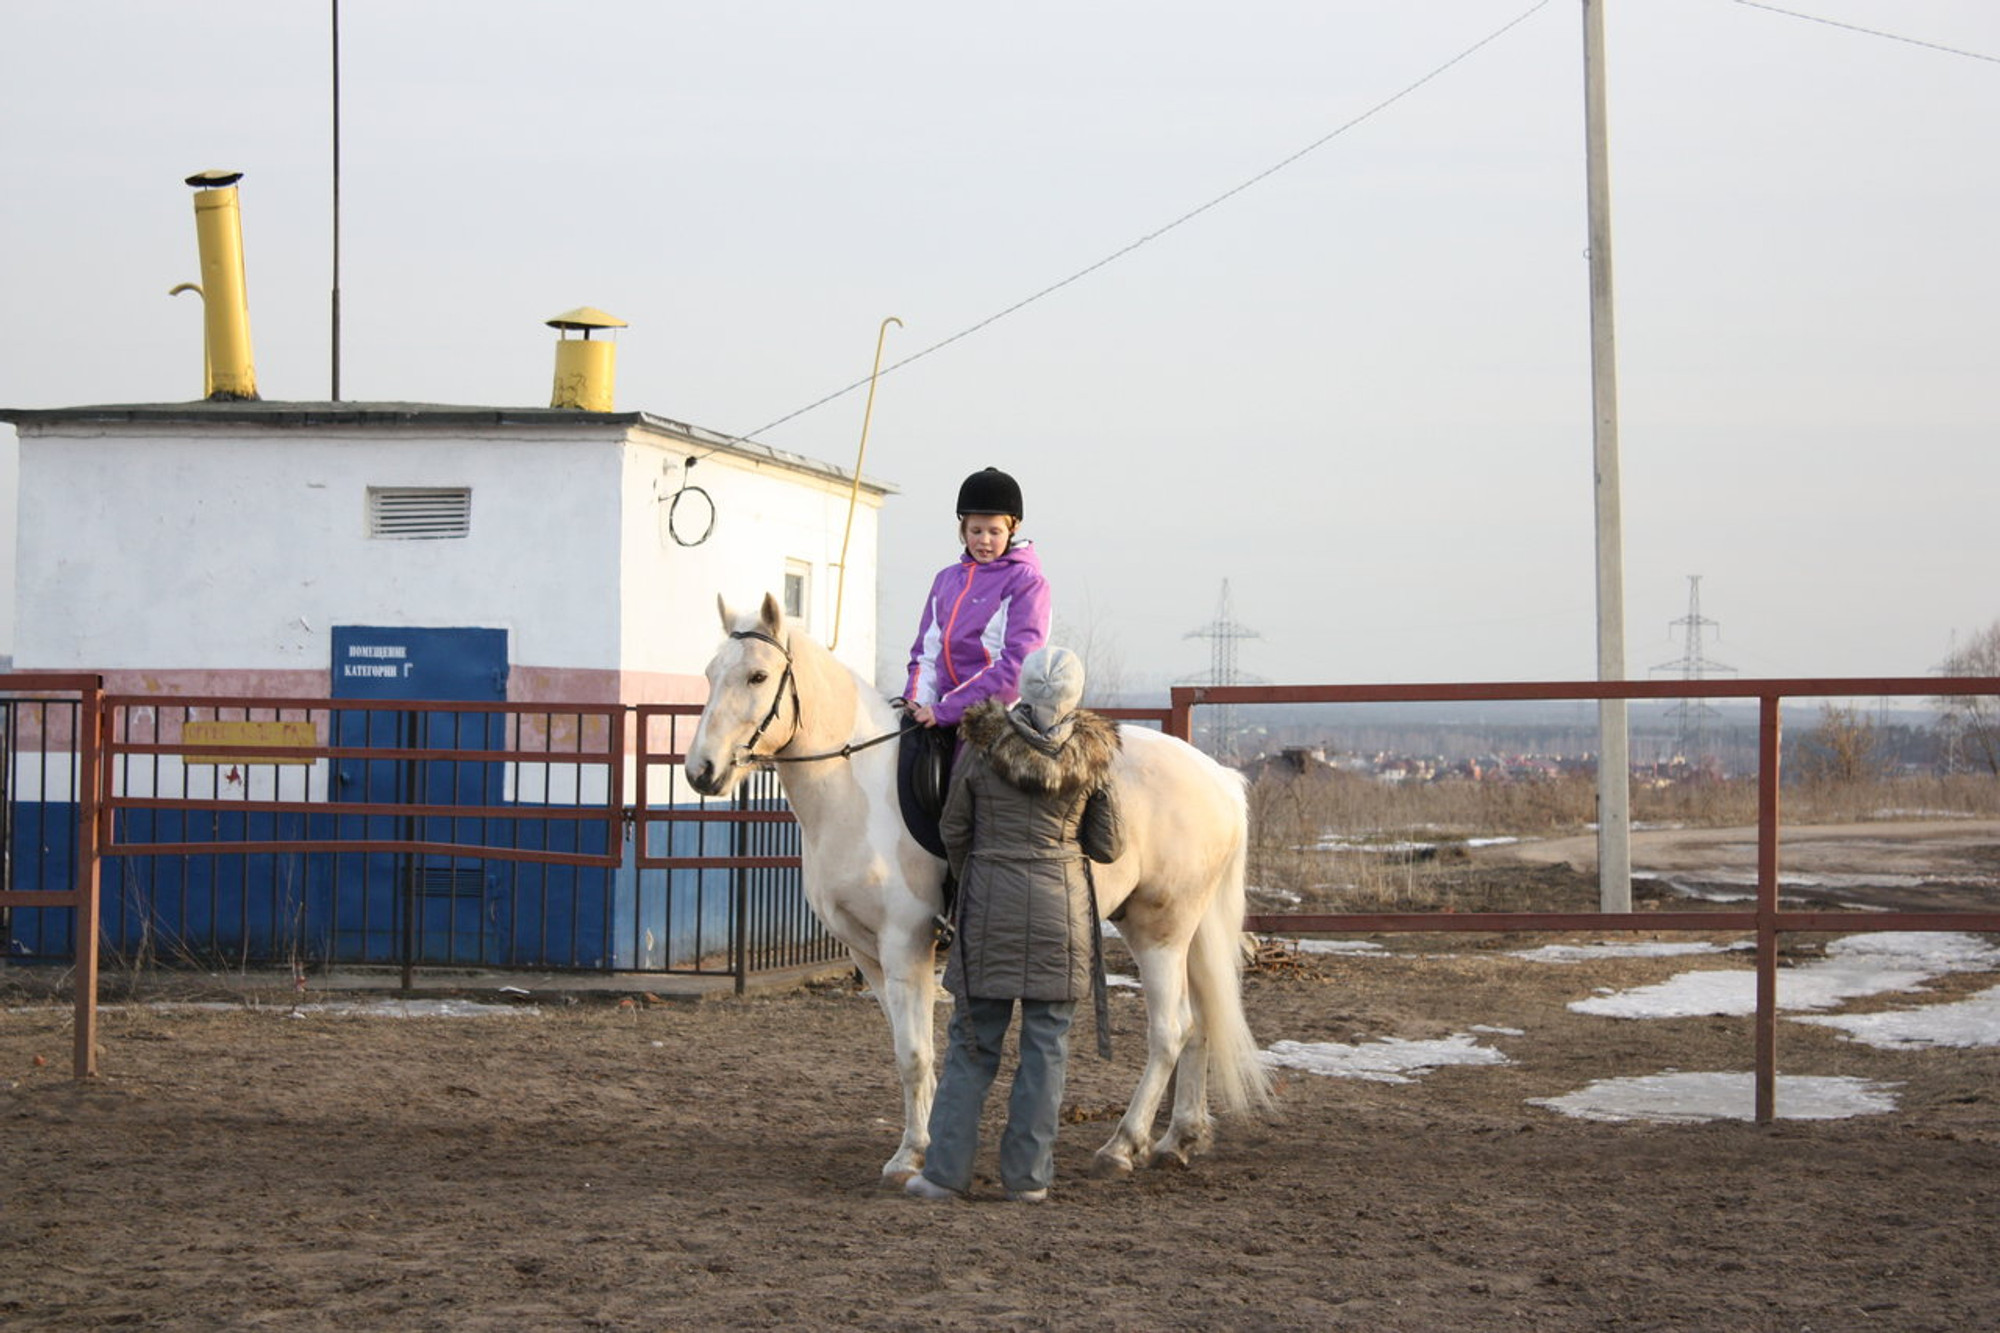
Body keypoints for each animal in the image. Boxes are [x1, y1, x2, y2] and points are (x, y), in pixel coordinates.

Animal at [684, 592, 1264, 1176]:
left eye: (758, 676)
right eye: (710, 673)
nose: (700, 771)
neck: (856, 790)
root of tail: (1219, 776)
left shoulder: (905, 944)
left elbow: (914, 1053)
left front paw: (911, 1155)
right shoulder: (867, 953)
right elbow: (906, 1048)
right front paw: (924, 1143)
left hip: (1159, 929)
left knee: (1171, 1031)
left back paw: (1123, 1145)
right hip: (1187, 931)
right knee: (1201, 1024)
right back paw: (1178, 1139)